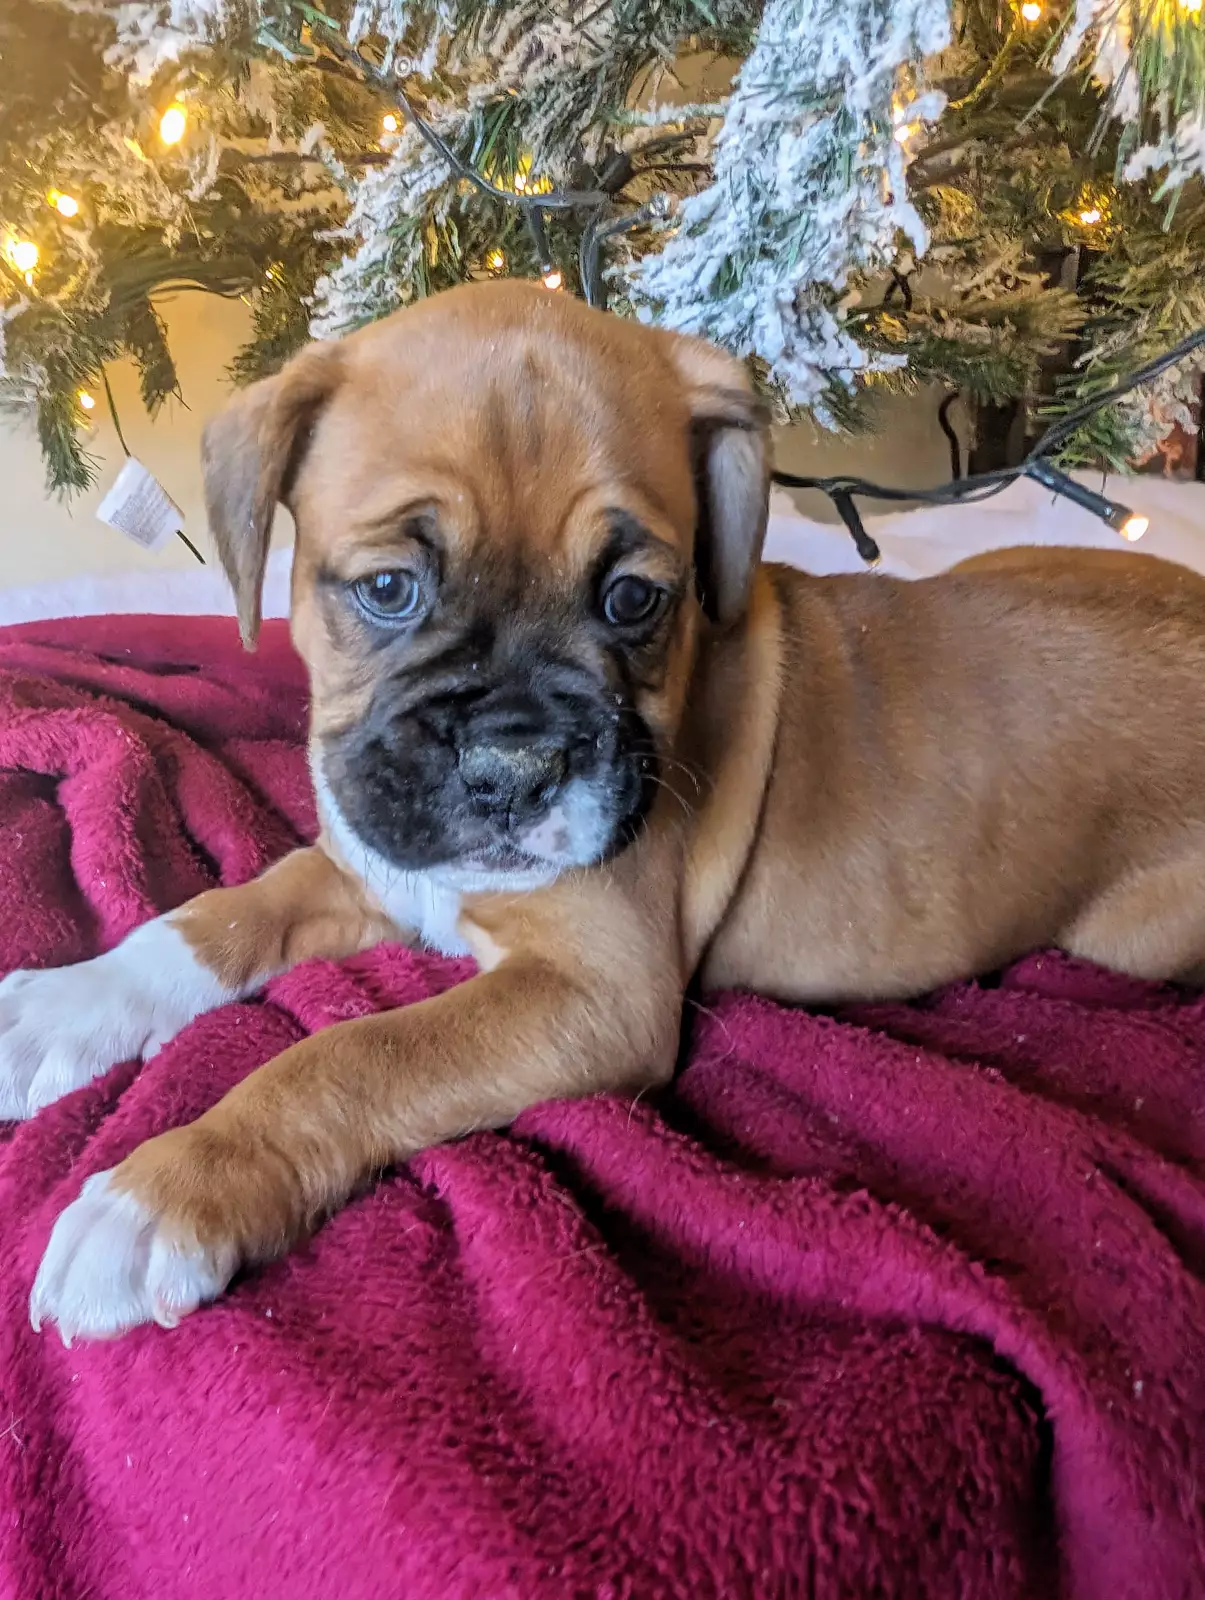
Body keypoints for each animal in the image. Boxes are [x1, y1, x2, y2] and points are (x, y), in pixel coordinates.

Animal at [7, 280, 1205, 1344]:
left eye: (634, 599)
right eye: (389, 590)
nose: (514, 766)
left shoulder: (593, 992)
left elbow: (350, 1054)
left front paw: (167, 1192)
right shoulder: (368, 861)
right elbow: (213, 916)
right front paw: (68, 1005)